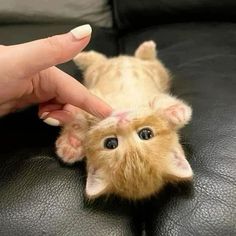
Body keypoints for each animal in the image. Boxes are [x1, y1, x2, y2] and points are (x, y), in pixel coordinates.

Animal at [55, 41, 194, 200]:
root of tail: (123, 58)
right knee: (98, 60)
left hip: (158, 72)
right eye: (111, 143)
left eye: (145, 134)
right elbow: (78, 115)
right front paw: (72, 142)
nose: (122, 120)